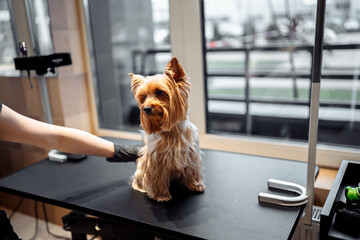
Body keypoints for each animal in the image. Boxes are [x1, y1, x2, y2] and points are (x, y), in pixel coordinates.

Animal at [129, 57, 205, 202]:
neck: (171, 131)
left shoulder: (191, 154)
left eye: (160, 92)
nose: (146, 109)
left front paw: (196, 185)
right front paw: (161, 195)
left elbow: (192, 170)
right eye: (143, 97)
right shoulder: (155, 160)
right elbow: (157, 178)